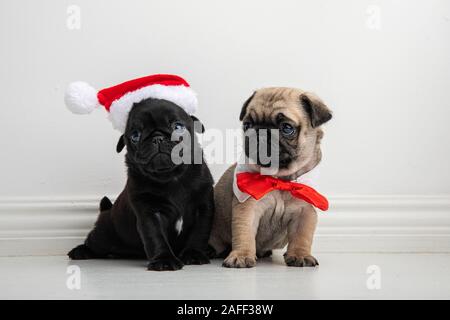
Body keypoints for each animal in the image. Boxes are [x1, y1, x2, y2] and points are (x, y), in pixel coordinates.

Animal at [67, 97, 214, 270]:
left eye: (178, 127)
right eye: (135, 135)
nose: (157, 138)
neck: (172, 177)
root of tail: (106, 211)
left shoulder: (203, 208)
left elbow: (199, 233)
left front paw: (194, 254)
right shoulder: (149, 212)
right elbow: (155, 236)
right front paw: (164, 260)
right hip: (104, 235)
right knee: (94, 241)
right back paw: (80, 251)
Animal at [209, 87, 332, 268]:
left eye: (287, 128)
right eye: (247, 125)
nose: (260, 132)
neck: (280, 179)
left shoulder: (305, 211)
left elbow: (302, 236)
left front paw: (300, 255)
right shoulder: (248, 208)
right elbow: (244, 233)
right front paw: (241, 256)